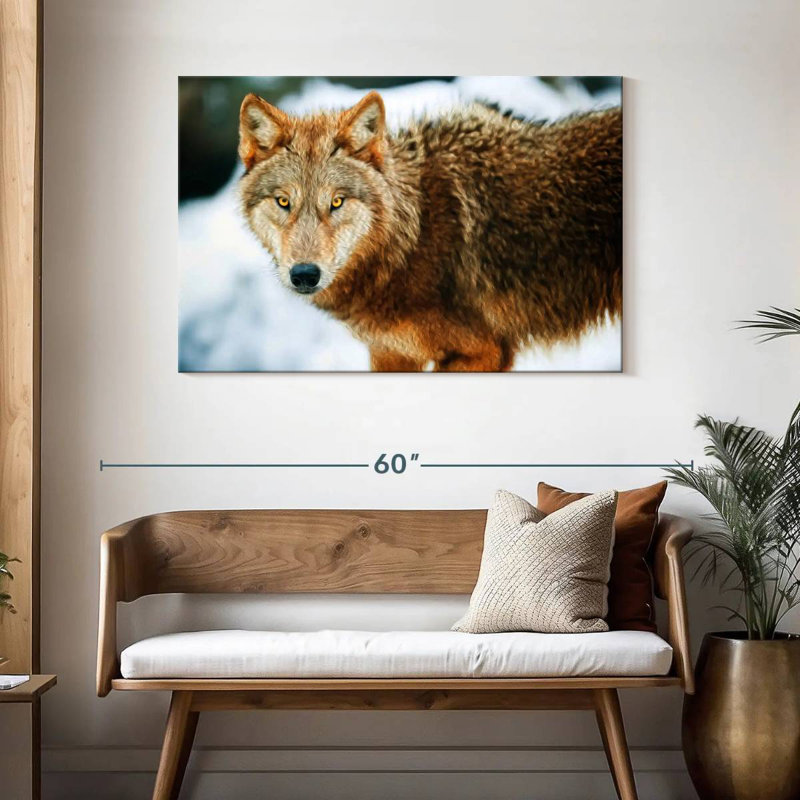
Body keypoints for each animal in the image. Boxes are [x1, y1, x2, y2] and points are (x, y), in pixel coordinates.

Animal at [238, 90, 622, 371]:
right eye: (284, 202)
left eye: (336, 201)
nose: (305, 274)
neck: (413, 235)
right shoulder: (390, 354)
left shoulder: (485, 352)